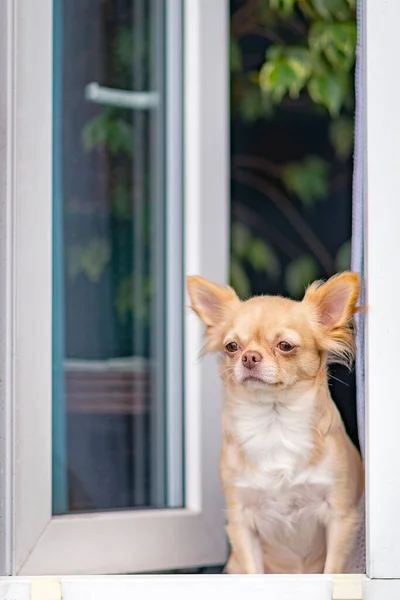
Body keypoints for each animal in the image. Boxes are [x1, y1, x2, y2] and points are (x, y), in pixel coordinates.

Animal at [189, 274, 364, 576]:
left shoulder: (340, 516)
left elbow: (332, 570)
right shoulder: (242, 520)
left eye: (285, 346)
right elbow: (253, 572)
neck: (275, 424)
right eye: (232, 347)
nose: (249, 357)